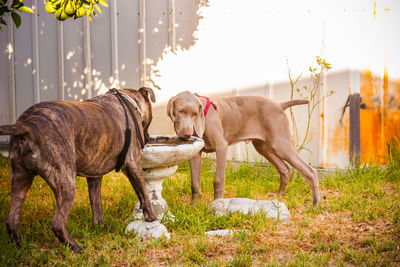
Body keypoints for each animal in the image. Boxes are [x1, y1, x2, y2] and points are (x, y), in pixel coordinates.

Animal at [0, 88, 159, 253]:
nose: (148, 139)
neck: (129, 100)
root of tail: (26, 124)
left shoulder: (94, 177)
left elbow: (96, 205)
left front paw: (101, 228)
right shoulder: (133, 165)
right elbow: (144, 195)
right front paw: (152, 218)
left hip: (20, 179)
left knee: (11, 220)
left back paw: (20, 248)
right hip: (66, 181)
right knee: (57, 224)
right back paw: (75, 247)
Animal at [167, 91, 320, 207]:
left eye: (195, 114)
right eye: (180, 111)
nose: (187, 133)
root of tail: (280, 104)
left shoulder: (221, 146)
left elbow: (218, 180)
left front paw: (217, 205)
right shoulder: (195, 152)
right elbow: (194, 183)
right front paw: (194, 206)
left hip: (280, 143)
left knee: (310, 171)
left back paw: (315, 204)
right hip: (262, 146)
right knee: (285, 168)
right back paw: (279, 195)